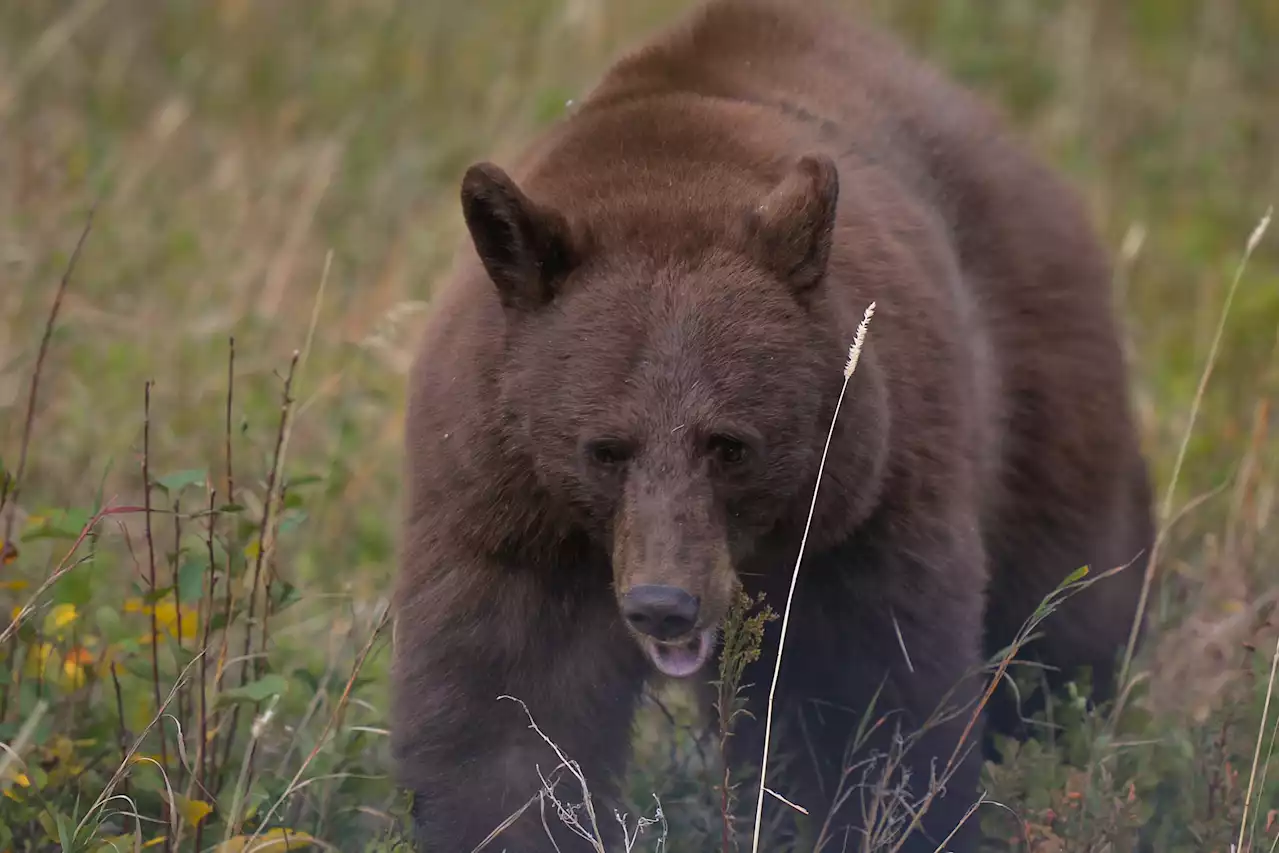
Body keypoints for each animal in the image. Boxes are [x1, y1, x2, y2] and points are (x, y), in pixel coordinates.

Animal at [386, 1, 1152, 845]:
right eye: (605, 449)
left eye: (730, 446)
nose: (664, 603)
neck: (664, 177)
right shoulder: (505, 507)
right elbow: (504, 716)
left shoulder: (866, 510)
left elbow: (870, 705)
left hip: (1038, 385)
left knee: (1063, 611)